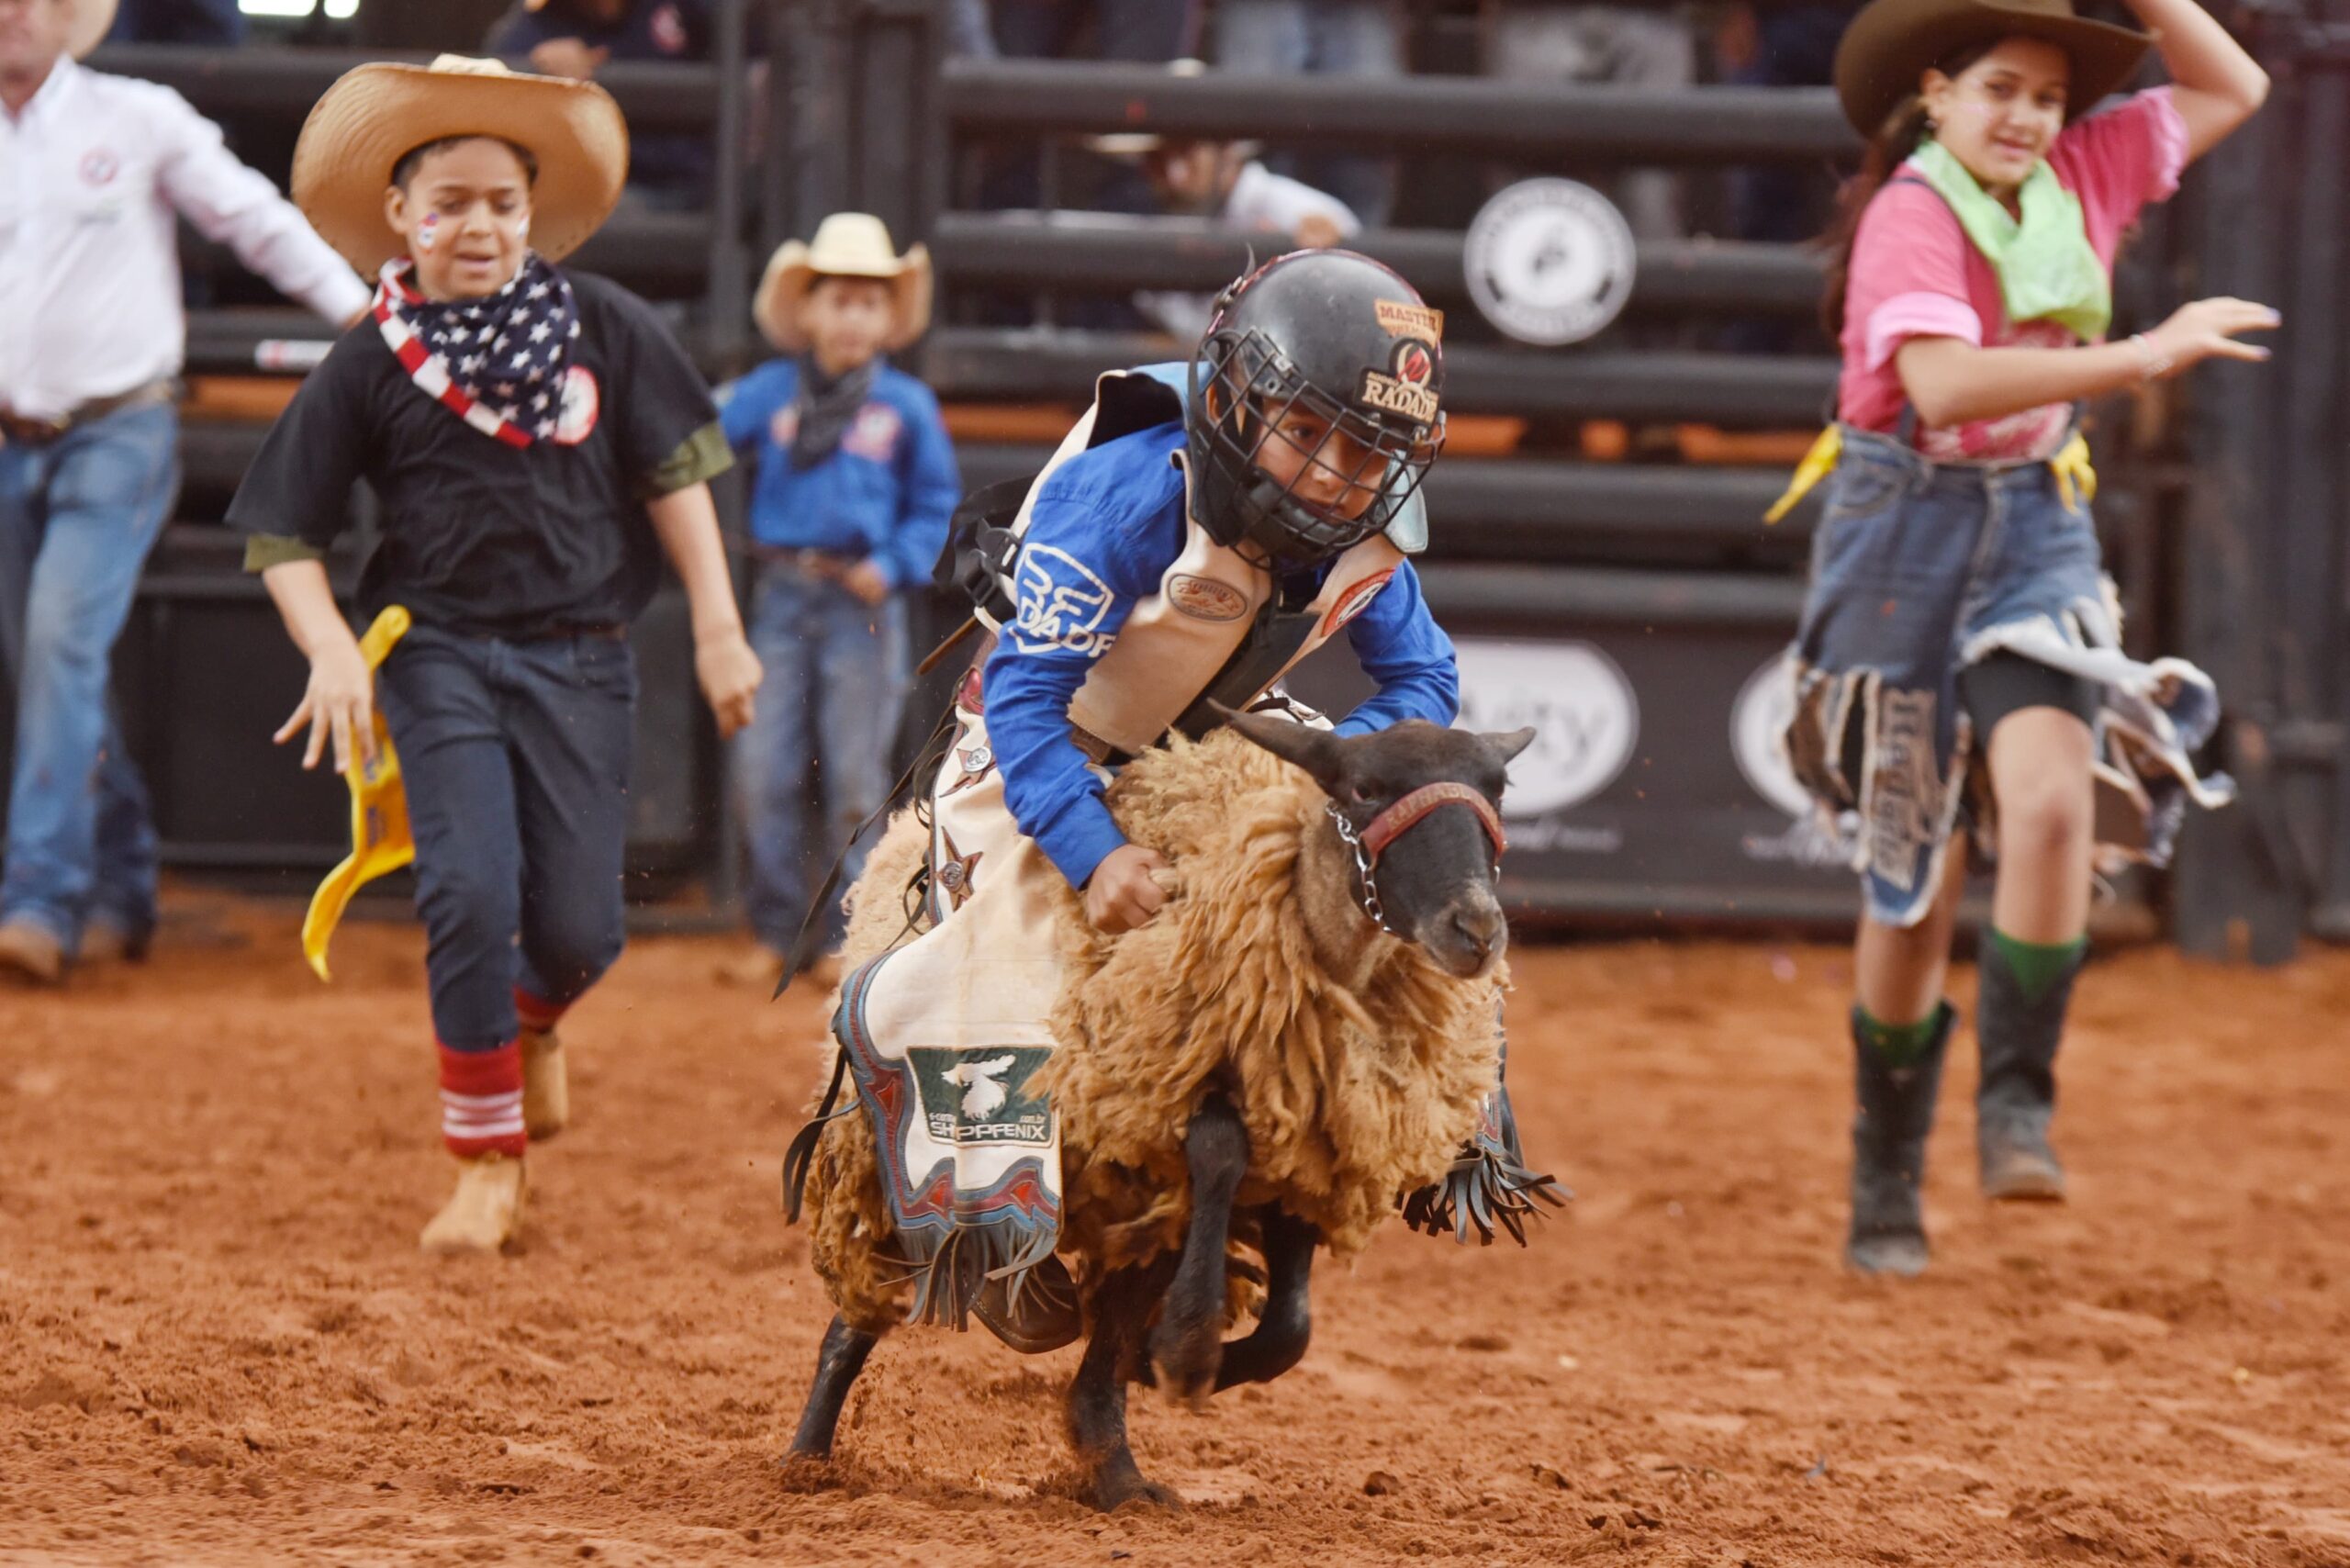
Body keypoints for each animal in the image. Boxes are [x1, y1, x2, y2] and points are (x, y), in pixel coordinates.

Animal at [789, 710, 1541, 1504]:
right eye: (1366, 788)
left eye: (1498, 787)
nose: (1477, 931)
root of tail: (898, 839)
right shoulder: (1153, 1092)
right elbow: (1219, 1149)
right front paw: (1182, 1349)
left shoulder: (1310, 1144)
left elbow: (1290, 1329)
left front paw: (1161, 1360)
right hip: (883, 1147)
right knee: (876, 1285)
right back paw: (809, 1454)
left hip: (1131, 1209)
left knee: (1114, 1316)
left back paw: (1117, 1471)